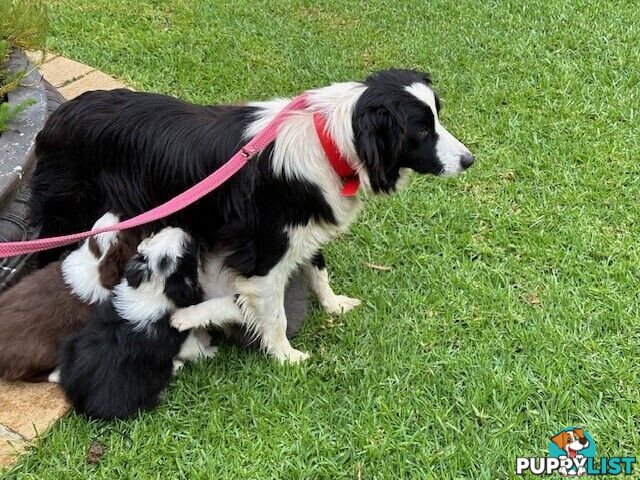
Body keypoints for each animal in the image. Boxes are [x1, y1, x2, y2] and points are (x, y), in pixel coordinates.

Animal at [33, 68, 476, 364]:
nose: (469, 160)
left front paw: (333, 305)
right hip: (67, 213)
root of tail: (55, 117)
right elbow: (274, 314)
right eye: (422, 131)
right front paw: (287, 358)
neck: (332, 140)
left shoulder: (304, 227)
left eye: (437, 118)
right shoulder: (263, 252)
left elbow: (317, 269)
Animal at [57, 227, 241, 418]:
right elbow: (195, 349)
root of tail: (80, 402)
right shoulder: (177, 338)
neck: (153, 287)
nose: (179, 229)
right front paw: (211, 352)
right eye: (188, 251)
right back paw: (176, 367)